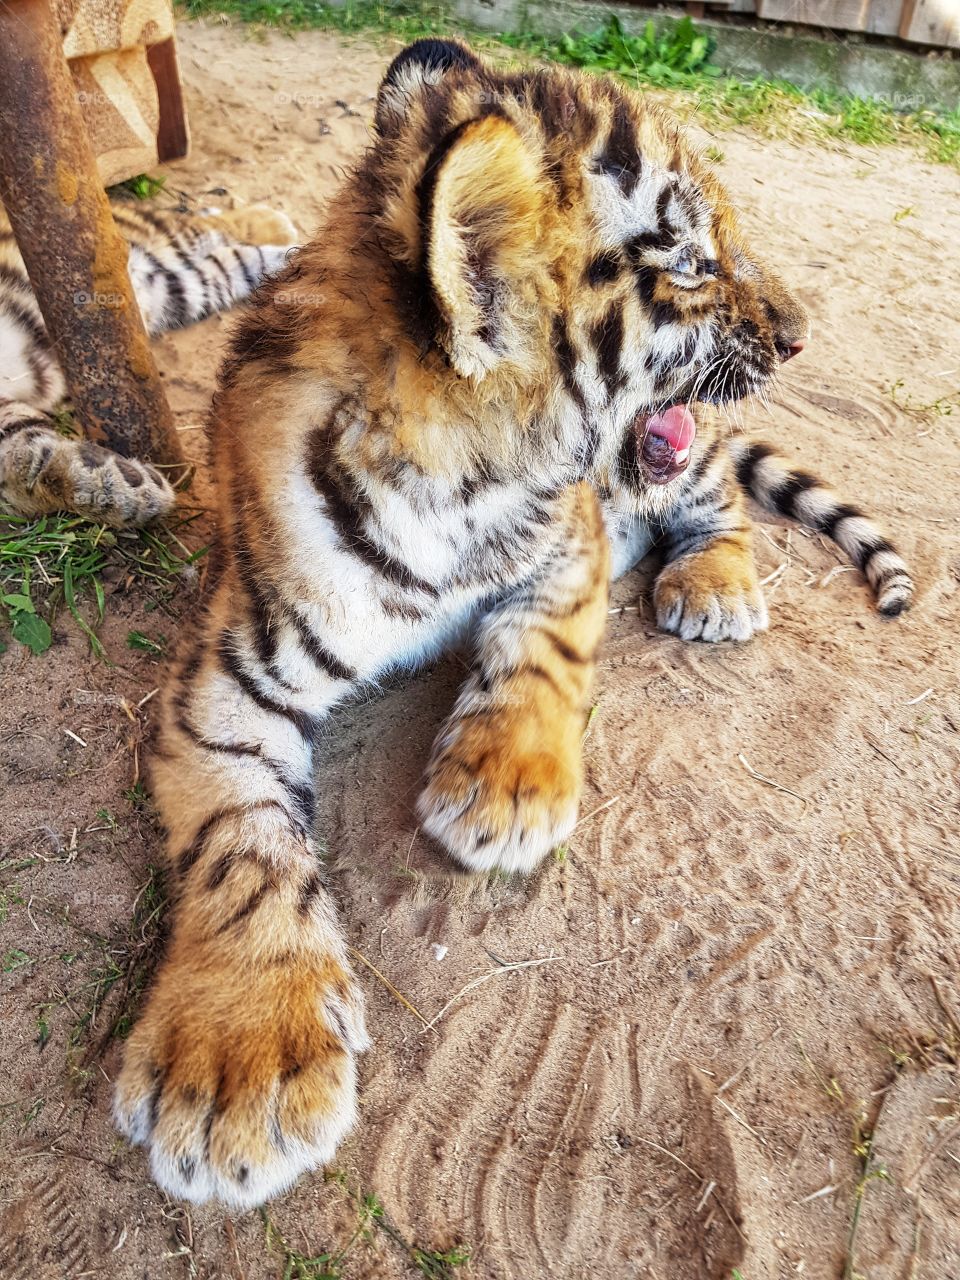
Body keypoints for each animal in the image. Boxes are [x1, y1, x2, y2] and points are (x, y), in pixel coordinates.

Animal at [0, 199, 299, 521]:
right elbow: (22, 456)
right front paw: (122, 488)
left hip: (152, 238)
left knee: (212, 226)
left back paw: (275, 223)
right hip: (181, 289)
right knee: (232, 263)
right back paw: (291, 264)